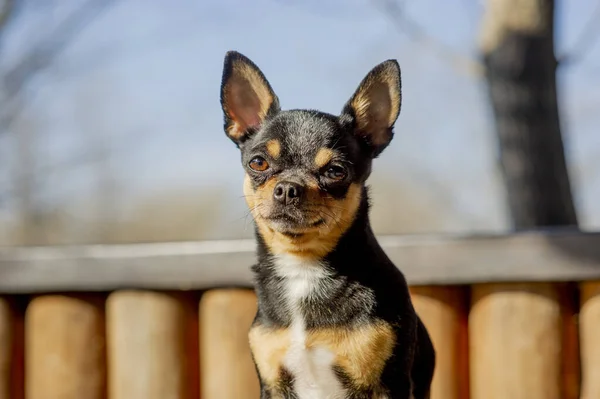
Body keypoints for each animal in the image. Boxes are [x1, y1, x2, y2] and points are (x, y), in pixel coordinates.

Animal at [218, 51, 434, 398]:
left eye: (335, 171)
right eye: (258, 163)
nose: (288, 188)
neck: (303, 267)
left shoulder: (387, 385)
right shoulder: (273, 384)